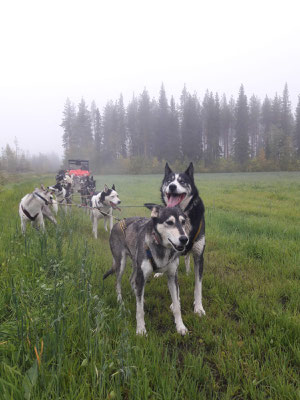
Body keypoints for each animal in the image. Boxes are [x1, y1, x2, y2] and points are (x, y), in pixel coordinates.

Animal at [105, 205, 190, 336]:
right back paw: (120, 301)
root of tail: (117, 223)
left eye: (183, 222)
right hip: (121, 264)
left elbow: (177, 306)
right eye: (169, 222)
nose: (184, 239)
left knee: (132, 280)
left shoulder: (172, 277)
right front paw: (140, 330)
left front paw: (180, 326)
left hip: (136, 264)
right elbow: (139, 310)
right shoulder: (141, 276)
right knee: (118, 283)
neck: (161, 248)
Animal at [161, 162, 205, 316]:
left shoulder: (199, 255)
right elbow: (176, 286)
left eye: (182, 181)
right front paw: (176, 304)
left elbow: (198, 286)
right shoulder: (173, 257)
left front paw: (198, 307)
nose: (172, 186)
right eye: (169, 180)